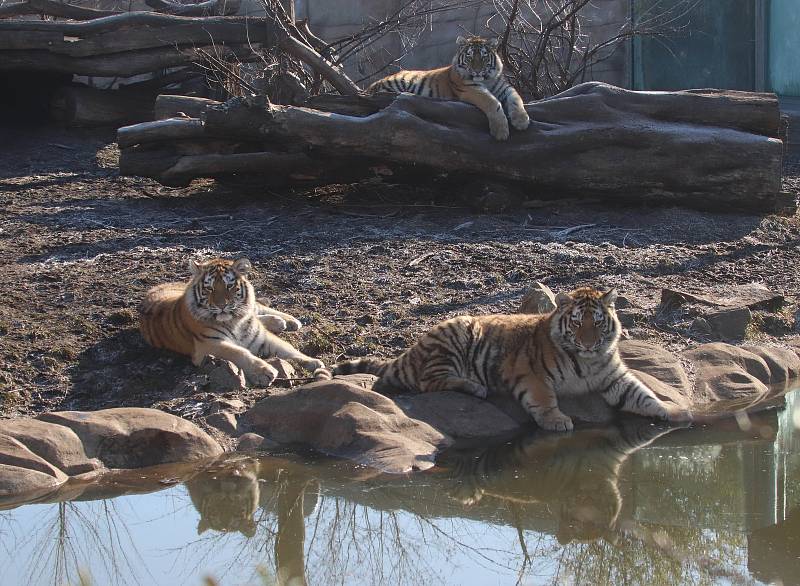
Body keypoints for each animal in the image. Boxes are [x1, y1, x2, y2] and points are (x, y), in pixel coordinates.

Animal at [138, 256, 328, 386]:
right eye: (209, 288)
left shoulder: (261, 337)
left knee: (258, 307)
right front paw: (265, 371)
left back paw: (289, 320)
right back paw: (278, 322)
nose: (222, 305)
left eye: (229, 286)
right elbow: (239, 353)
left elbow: (287, 349)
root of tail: (157, 286)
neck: (235, 321)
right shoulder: (209, 345)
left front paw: (313, 362)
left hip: (254, 308)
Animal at [334, 286, 692, 432]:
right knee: (427, 381)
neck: (589, 361)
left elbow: (644, 395)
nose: (589, 343)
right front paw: (557, 421)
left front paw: (675, 413)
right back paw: (475, 387)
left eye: (598, 322)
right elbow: (544, 399)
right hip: (456, 335)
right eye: (578, 323)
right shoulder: (530, 374)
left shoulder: (615, 377)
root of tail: (410, 349)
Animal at [368, 35, 532, 140]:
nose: (477, 70)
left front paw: (521, 120)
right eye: (469, 56)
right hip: (396, 82)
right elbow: (493, 102)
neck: (487, 80)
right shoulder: (470, 89)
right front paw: (500, 131)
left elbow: (516, 98)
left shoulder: (504, 88)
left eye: (484, 56)